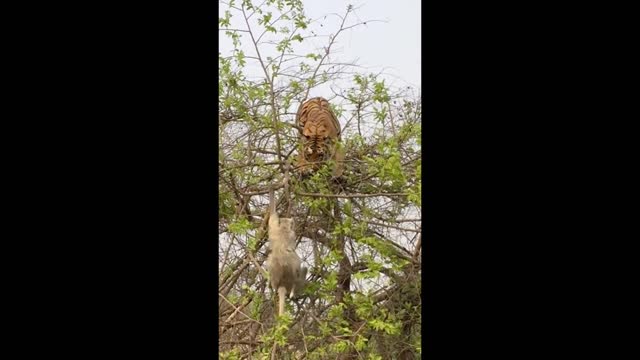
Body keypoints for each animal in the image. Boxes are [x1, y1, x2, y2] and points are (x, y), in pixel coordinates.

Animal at [266, 187, 308, 316]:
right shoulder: (291, 234)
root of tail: (282, 284)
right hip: (296, 281)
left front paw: (272, 188)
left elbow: (272, 216)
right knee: (302, 269)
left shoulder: (275, 227)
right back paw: (294, 293)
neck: (283, 229)